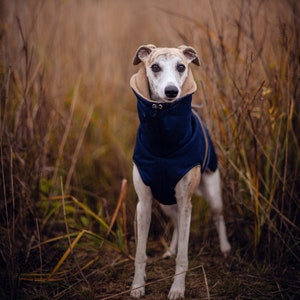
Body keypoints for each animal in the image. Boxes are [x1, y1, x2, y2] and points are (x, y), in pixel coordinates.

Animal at [130, 45, 231, 300]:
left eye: (181, 66)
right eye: (155, 67)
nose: (171, 91)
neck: (163, 144)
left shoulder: (186, 202)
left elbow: (184, 257)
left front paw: (177, 288)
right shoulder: (143, 203)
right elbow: (140, 253)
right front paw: (137, 285)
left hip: (212, 193)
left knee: (218, 216)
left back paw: (225, 247)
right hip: (166, 203)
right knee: (175, 222)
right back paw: (170, 250)